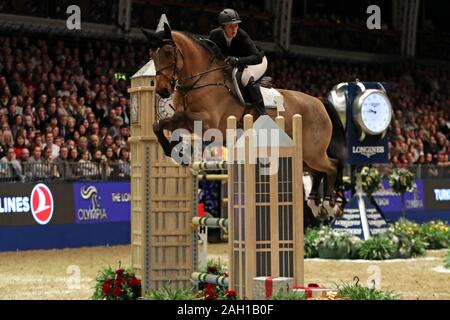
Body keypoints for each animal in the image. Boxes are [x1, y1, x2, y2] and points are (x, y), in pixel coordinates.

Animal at [142, 23, 346, 218]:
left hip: (313, 152)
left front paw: (175, 149)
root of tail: (319, 101)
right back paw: (315, 205)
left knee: (331, 166)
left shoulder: (207, 122)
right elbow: (160, 124)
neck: (200, 79)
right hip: (302, 156)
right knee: (318, 172)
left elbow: (178, 119)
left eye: (168, 52)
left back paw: (329, 204)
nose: (162, 91)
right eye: (151, 54)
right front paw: (172, 149)